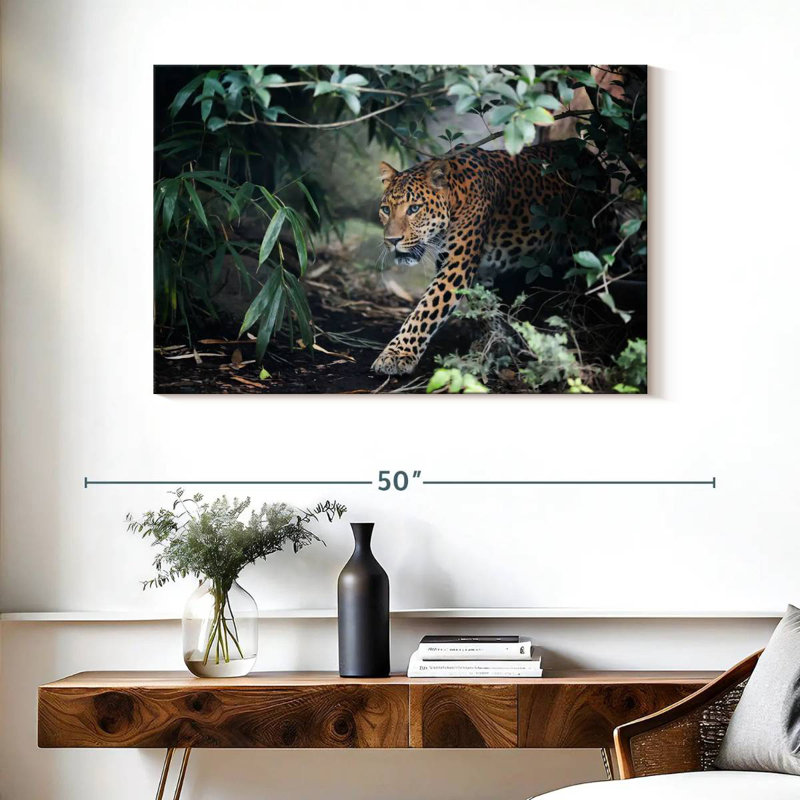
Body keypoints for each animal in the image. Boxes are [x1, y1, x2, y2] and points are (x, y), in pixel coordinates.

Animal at [371, 142, 580, 375]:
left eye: (414, 209)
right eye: (386, 209)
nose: (392, 240)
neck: (456, 197)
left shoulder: (456, 266)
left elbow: (425, 311)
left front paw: (396, 355)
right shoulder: (475, 269)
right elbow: (484, 306)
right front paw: (497, 340)